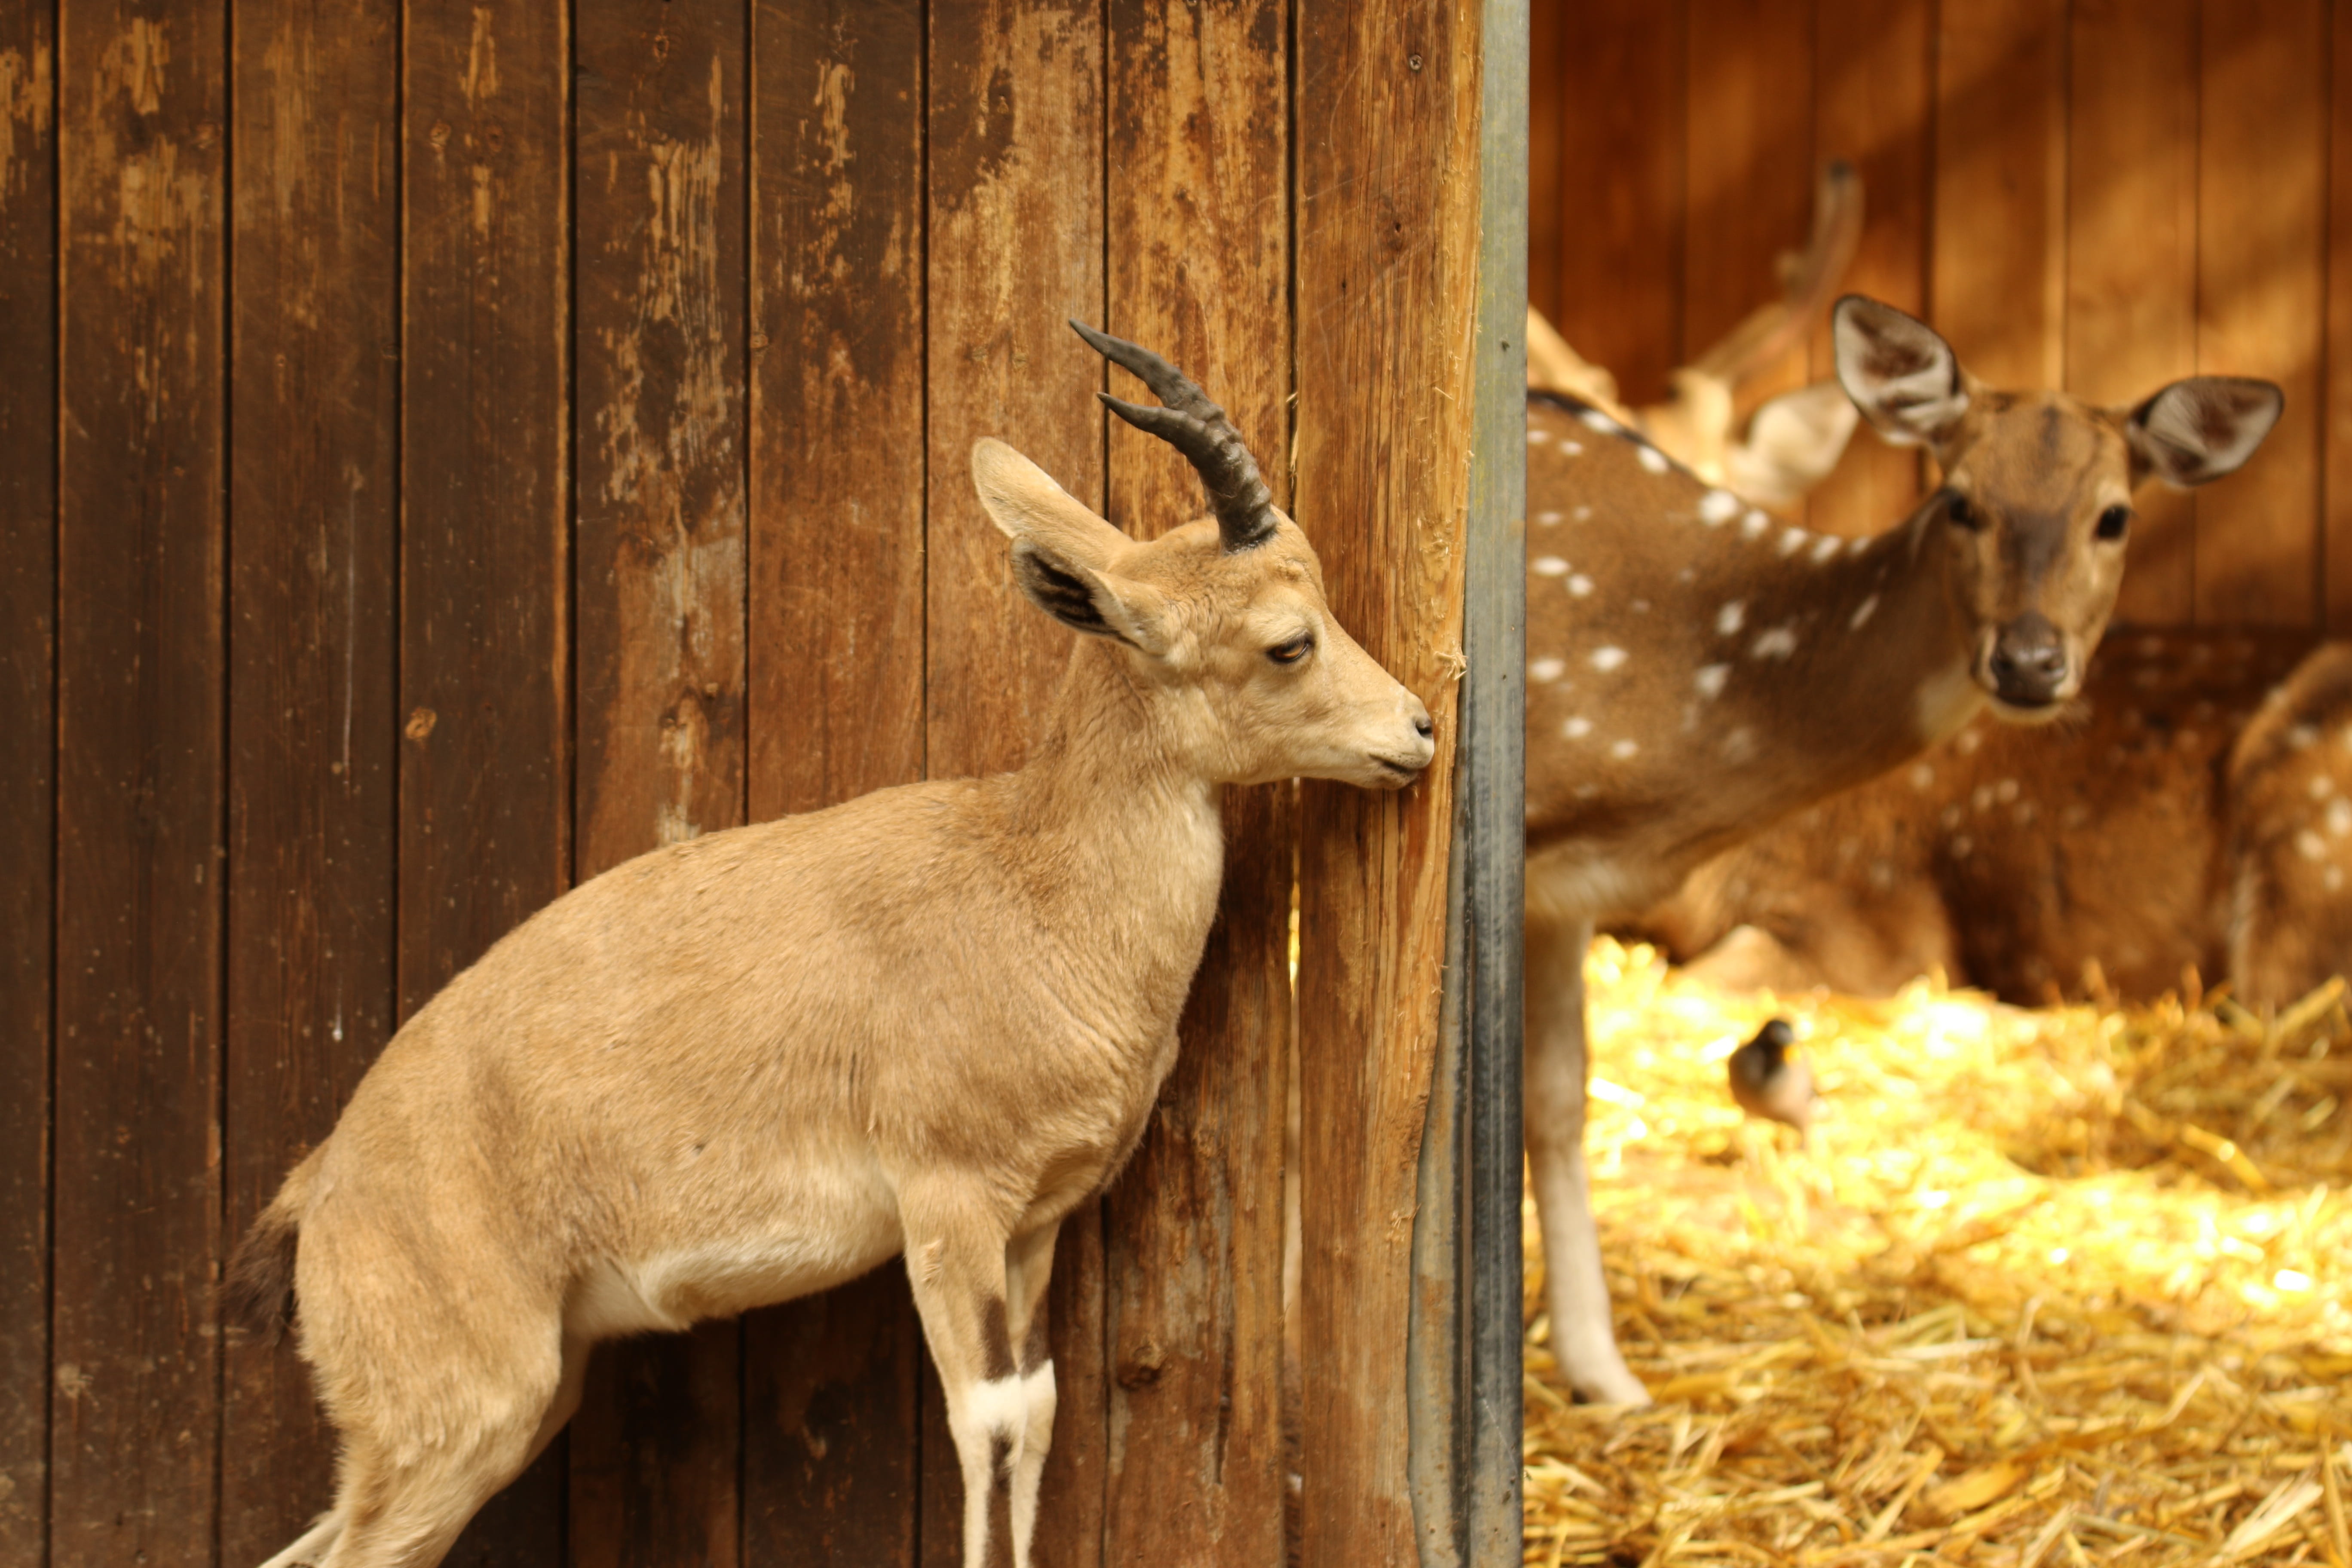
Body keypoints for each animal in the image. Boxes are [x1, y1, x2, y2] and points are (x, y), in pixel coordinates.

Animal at [220, 324, 1434, 1568]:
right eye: (1287, 642)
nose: (1417, 731)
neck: (1031, 885)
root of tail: (322, 1190)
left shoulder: (1036, 1226)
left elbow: (1039, 1413)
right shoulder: (948, 1207)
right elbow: (989, 1423)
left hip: (507, 1410)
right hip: (461, 1419)